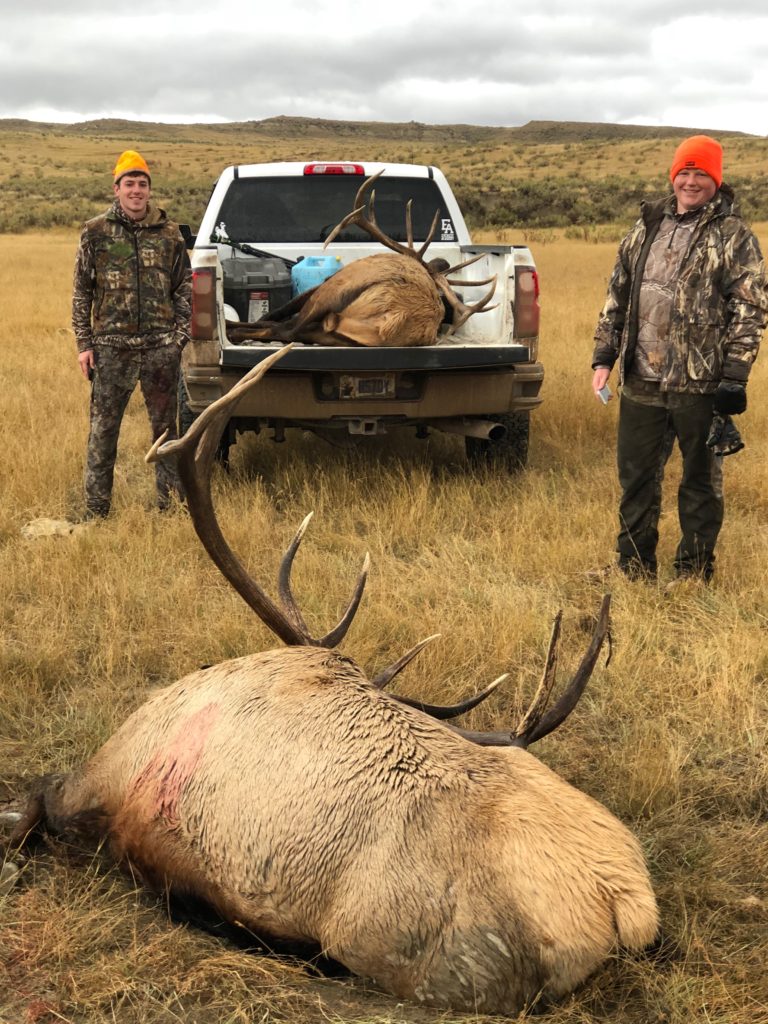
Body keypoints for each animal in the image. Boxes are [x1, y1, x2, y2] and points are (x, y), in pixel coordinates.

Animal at [228, 172, 499, 348]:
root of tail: (392, 319)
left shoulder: (321, 286)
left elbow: (275, 313)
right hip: (330, 336)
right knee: (289, 333)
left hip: (329, 296)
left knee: (283, 328)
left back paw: (233, 331)